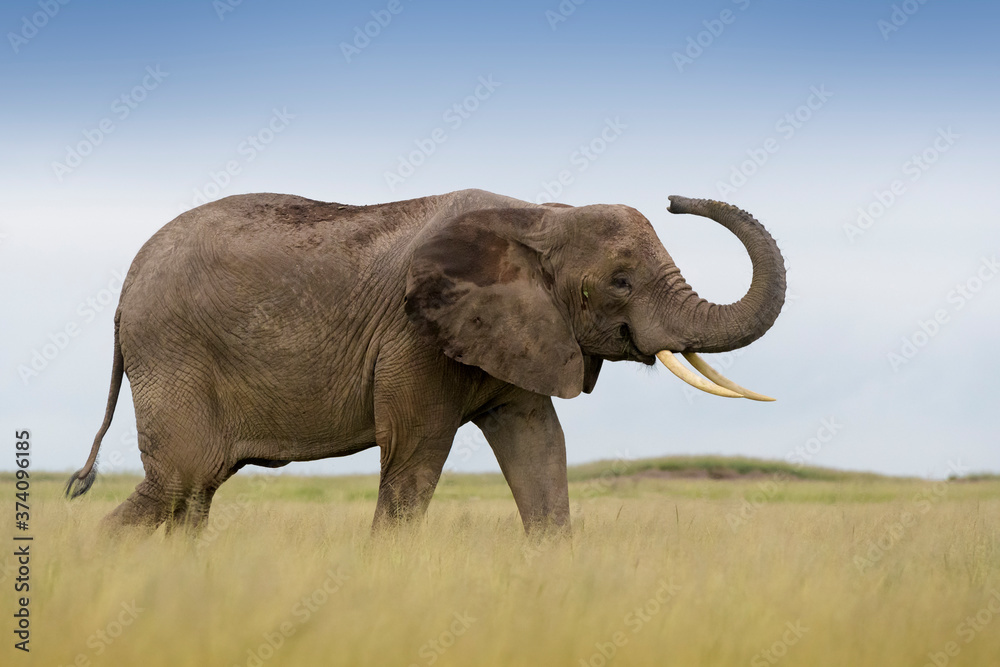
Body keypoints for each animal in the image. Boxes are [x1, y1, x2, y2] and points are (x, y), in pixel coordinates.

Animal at [65, 188, 785, 534]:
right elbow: (414, 457)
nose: (676, 199)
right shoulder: (413, 336)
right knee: (181, 481)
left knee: (194, 496)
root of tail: (124, 294)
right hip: (173, 350)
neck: (537, 214)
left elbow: (540, 449)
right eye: (621, 282)